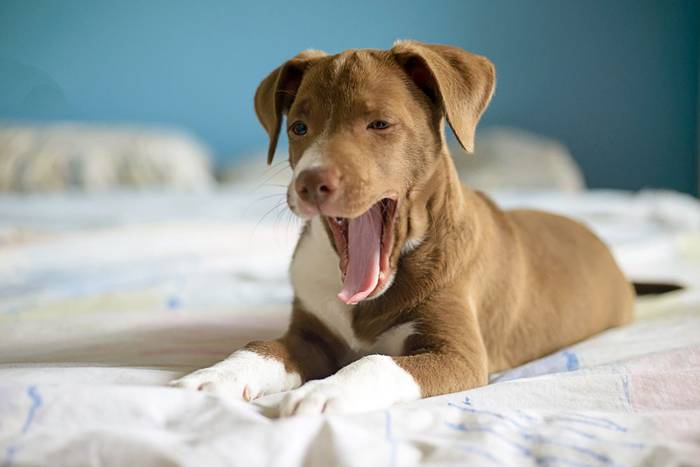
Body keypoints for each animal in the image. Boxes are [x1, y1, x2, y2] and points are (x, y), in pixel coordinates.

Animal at [171, 39, 636, 414]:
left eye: (379, 124)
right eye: (299, 128)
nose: (310, 183)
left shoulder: (459, 354)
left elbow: (375, 362)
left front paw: (324, 391)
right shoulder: (309, 336)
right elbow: (260, 347)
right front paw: (215, 375)